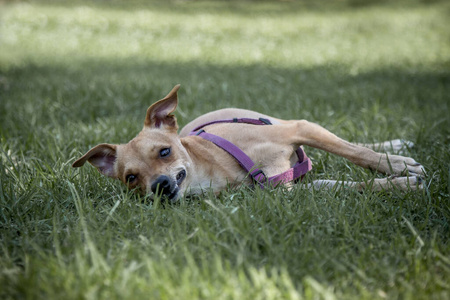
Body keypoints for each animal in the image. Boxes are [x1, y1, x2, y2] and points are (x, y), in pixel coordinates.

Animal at [72, 84, 424, 202]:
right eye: (131, 178)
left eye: (164, 151)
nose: (159, 186)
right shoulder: (289, 188)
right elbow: (351, 186)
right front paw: (399, 184)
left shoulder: (299, 129)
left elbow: (357, 152)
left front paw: (397, 167)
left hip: (290, 123)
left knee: (352, 142)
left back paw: (397, 147)